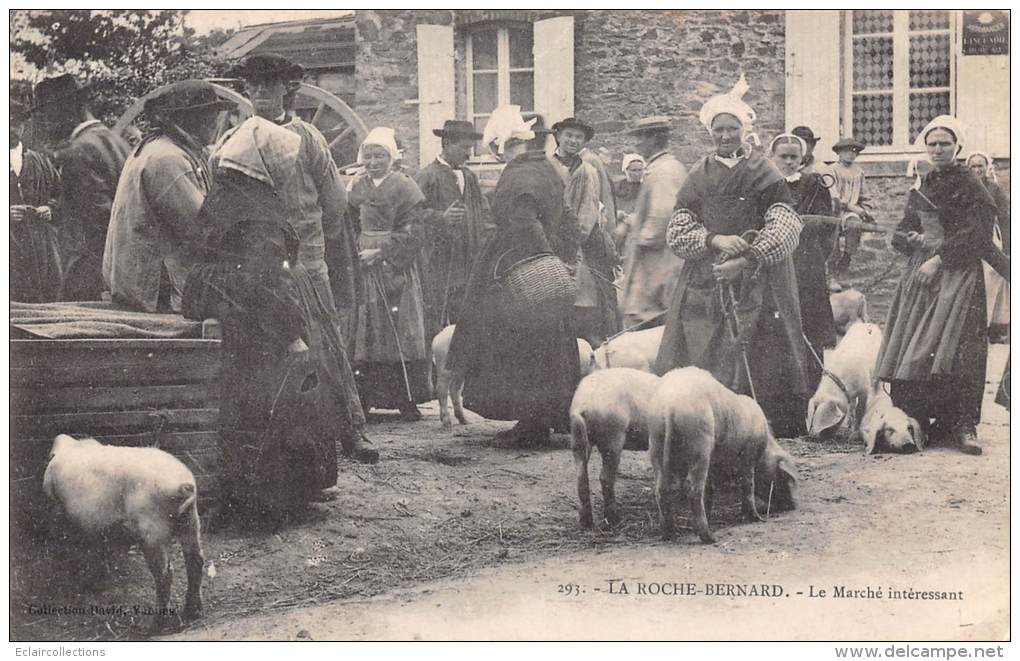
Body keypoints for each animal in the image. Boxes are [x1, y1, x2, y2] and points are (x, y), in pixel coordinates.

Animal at [43, 434, 205, 624]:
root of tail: (184, 484)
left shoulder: (58, 508)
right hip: (190, 520)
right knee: (196, 560)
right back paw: (193, 612)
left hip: (153, 530)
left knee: (165, 573)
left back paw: (157, 624)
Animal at [432, 324, 595, 428]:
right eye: (592, 362)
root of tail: (436, 339)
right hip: (444, 366)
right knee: (442, 390)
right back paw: (447, 424)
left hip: (459, 370)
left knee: (454, 390)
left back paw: (465, 422)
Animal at [567, 369, 660, 530]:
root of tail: (583, 403)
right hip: (613, 438)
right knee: (605, 477)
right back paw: (614, 519)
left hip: (578, 437)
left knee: (581, 476)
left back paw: (586, 522)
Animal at [648, 367, 799, 542]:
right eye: (782, 476)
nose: (794, 506)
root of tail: (668, 405)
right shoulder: (748, 454)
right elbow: (748, 484)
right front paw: (756, 518)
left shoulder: (714, 462)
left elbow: (710, 489)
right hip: (699, 441)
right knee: (692, 489)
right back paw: (710, 538)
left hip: (656, 440)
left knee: (661, 488)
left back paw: (669, 534)